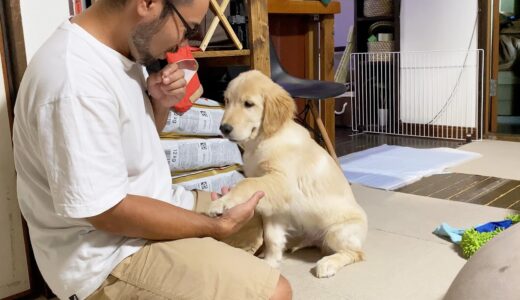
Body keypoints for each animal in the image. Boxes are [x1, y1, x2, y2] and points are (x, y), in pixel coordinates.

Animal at [205, 70, 368, 278]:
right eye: (226, 100)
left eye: (248, 104)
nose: (224, 128)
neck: (264, 139)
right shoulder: (275, 209)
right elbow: (271, 236)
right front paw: (270, 262)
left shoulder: (282, 182)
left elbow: (247, 183)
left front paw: (220, 203)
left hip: (338, 232)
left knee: (355, 253)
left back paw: (328, 263)